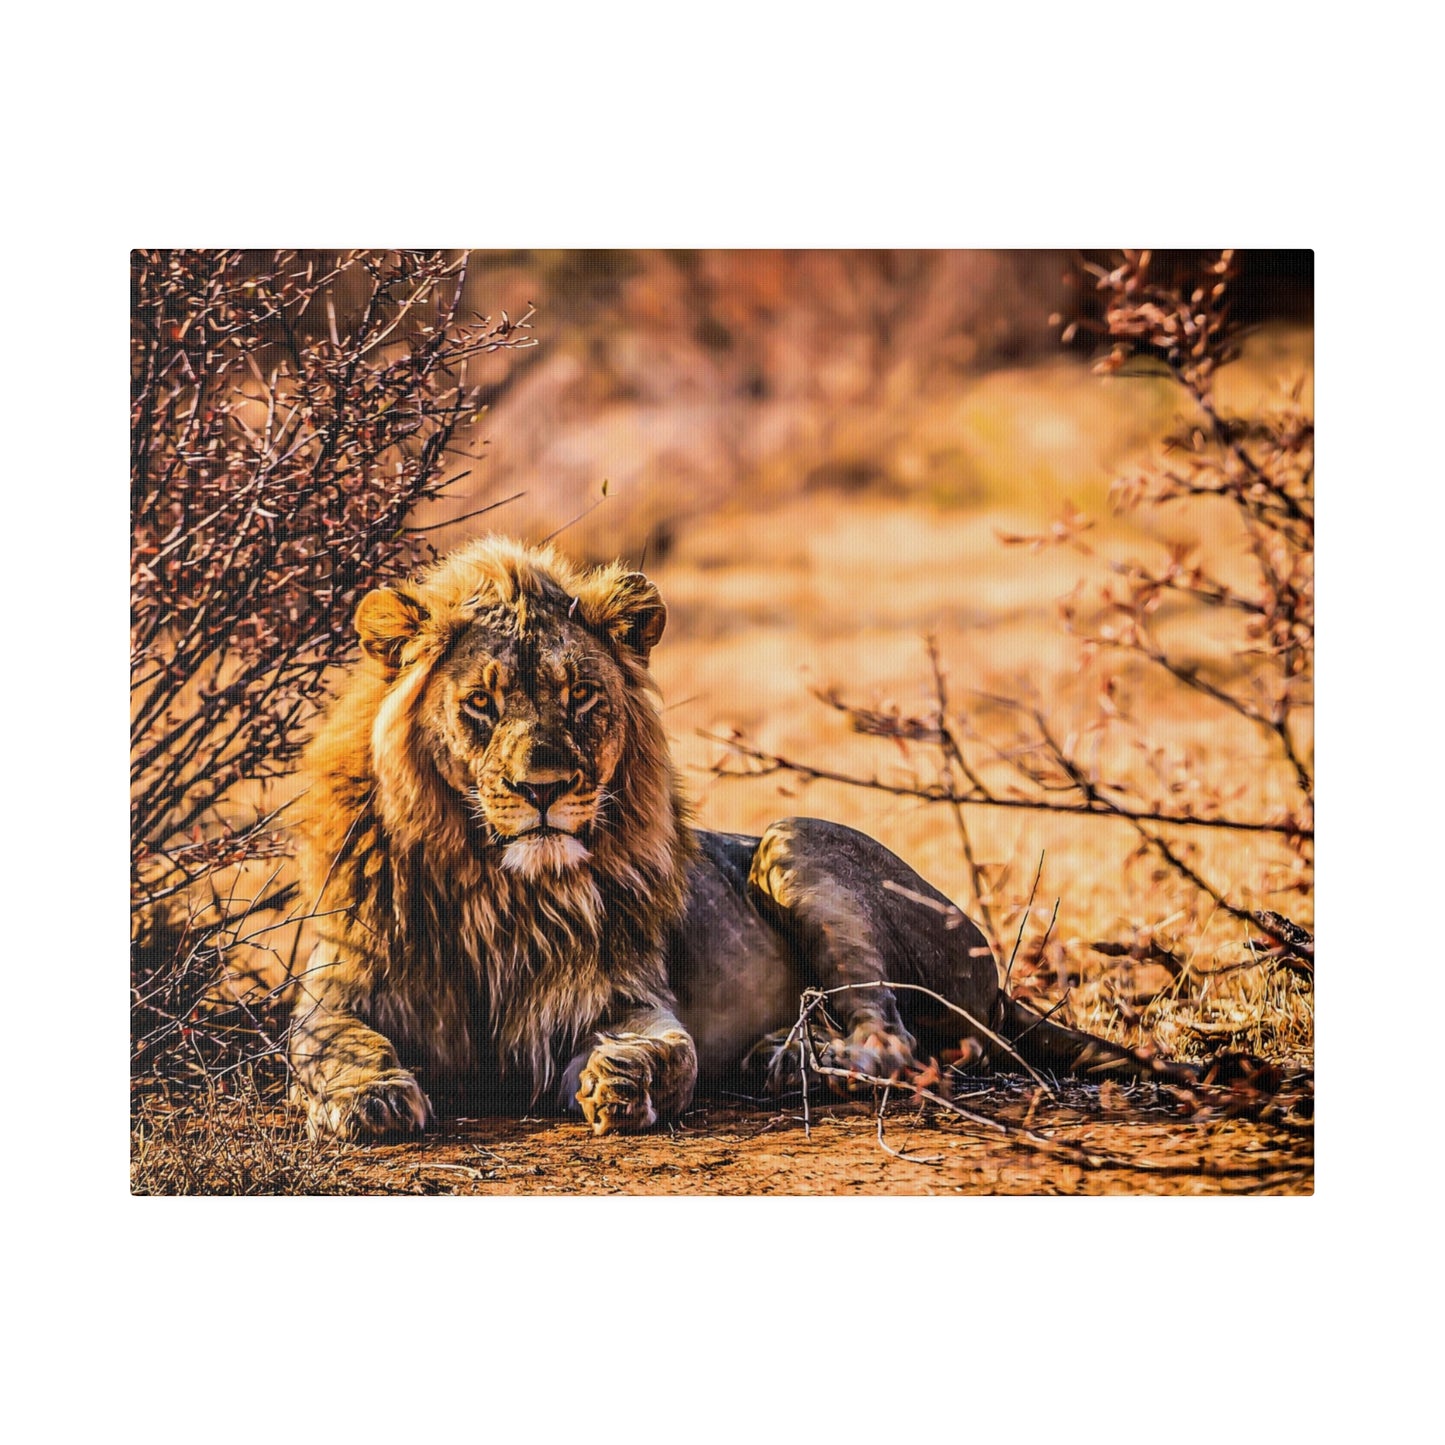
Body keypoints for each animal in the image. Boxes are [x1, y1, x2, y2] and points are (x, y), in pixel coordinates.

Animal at [290, 534, 1184, 1138]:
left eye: (581, 697)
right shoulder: (337, 990)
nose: (542, 790)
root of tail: (998, 981)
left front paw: (623, 1082)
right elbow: (329, 1045)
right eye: (481, 702)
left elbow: (670, 1050)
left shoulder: (622, 997)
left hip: (796, 844)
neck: (495, 886)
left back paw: (789, 1059)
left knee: (894, 1040)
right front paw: (370, 1097)